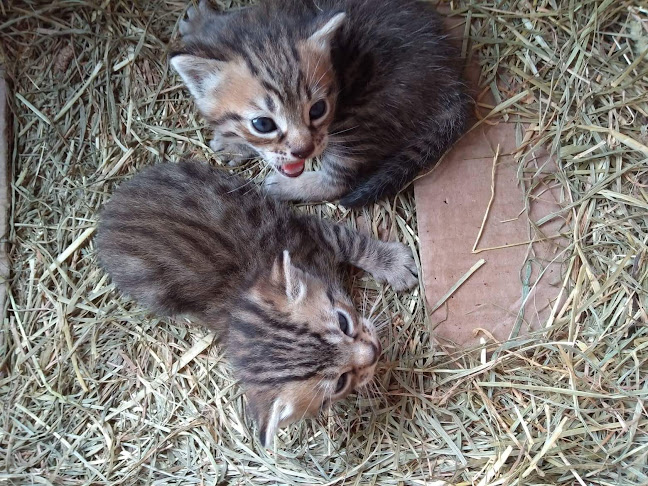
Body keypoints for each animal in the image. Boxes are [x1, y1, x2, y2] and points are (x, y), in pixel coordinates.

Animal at [96, 161, 420, 446]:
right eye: (340, 383)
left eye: (343, 321)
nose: (375, 352)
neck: (241, 291)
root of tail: (110, 212)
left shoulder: (313, 233)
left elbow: (355, 243)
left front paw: (393, 263)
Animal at [170, 0, 468, 207]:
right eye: (263, 124)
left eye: (318, 109)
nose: (304, 150)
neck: (256, 33)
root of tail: (451, 76)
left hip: (362, 116)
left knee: (340, 181)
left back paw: (287, 186)